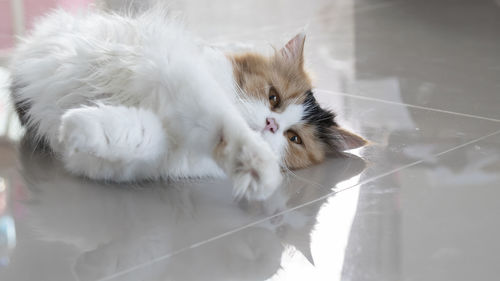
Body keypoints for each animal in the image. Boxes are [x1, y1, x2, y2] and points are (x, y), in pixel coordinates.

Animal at [9, 5, 366, 200]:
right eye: (273, 98)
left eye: (294, 138)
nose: (271, 123)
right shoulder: (182, 75)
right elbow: (225, 122)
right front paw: (259, 166)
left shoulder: (158, 153)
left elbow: (132, 137)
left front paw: (75, 126)